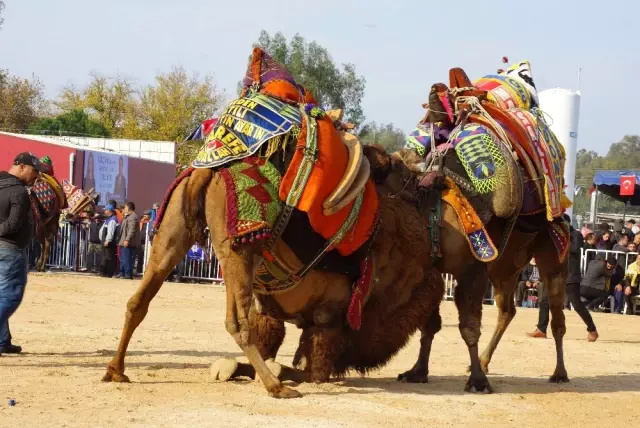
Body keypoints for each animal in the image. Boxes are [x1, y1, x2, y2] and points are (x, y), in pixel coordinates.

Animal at [102, 48, 448, 400]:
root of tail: (208, 169)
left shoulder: (277, 311)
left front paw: (233, 368)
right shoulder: (331, 315)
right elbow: (313, 371)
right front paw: (268, 373)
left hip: (173, 231)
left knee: (140, 299)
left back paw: (116, 371)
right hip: (240, 248)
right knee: (235, 321)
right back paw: (276, 386)